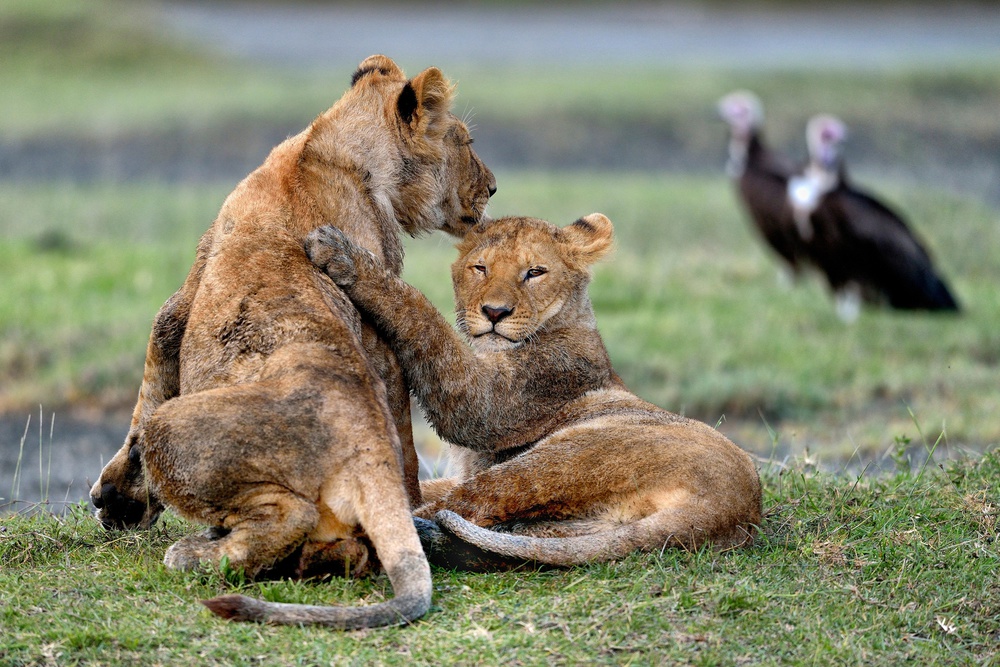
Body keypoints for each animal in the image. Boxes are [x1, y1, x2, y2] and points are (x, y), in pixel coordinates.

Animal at [88, 55, 496, 628]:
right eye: (465, 141)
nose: (493, 188)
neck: (330, 147)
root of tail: (365, 448)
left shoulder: (185, 300)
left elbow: (150, 383)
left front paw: (119, 500)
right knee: (349, 549)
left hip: (173, 430)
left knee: (287, 513)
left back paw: (195, 553)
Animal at [304, 213, 763, 570]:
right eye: (480, 268)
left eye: (535, 272)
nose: (495, 312)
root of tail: (734, 507)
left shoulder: (488, 399)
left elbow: (424, 318)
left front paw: (345, 256)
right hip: (573, 526)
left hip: (568, 455)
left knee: (474, 501)